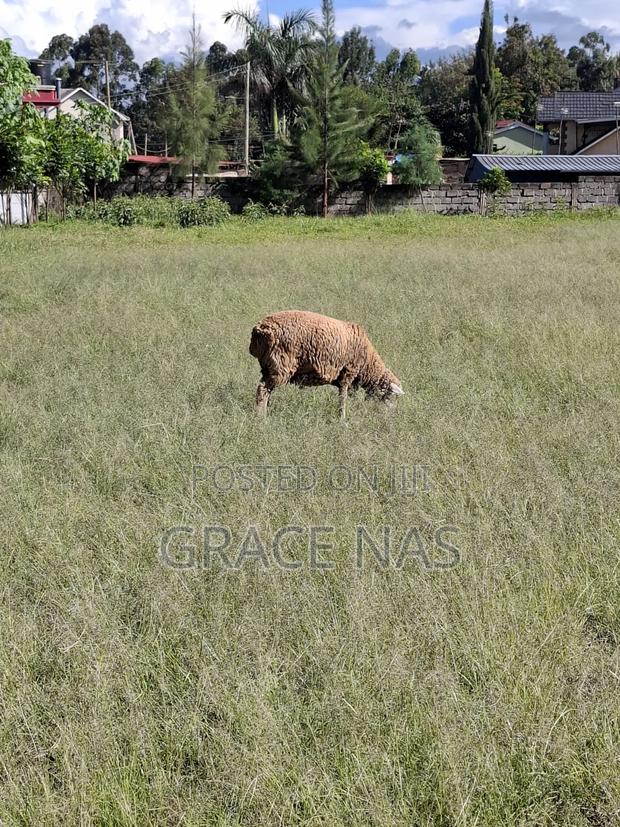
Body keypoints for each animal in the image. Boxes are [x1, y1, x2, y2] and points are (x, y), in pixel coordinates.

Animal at [249, 310, 404, 418]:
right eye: (391, 396)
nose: (391, 416)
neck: (367, 364)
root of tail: (260, 329)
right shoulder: (348, 372)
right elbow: (343, 398)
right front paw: (342, 419)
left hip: (268, 366)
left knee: (266, 390)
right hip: (281, 365)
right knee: (263, 389)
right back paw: (261, 417)